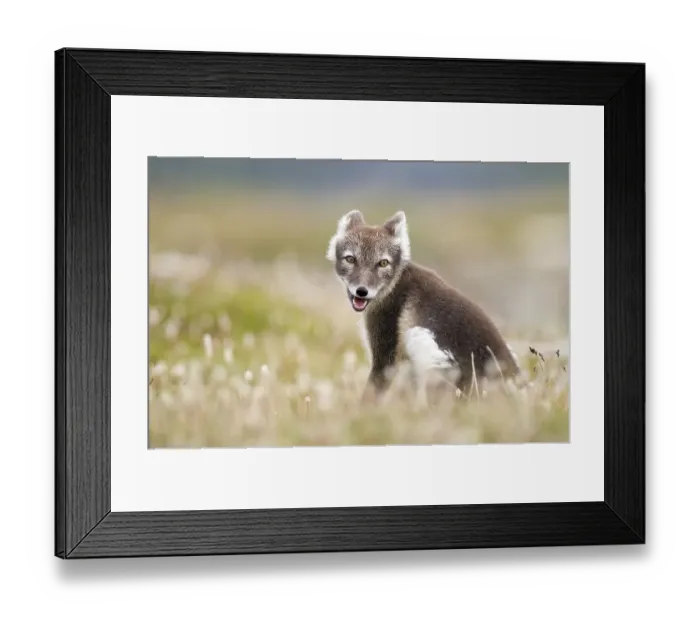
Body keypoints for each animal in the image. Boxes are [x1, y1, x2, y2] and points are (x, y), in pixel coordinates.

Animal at [326, 209, 521, 402]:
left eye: (383, 263)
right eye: (350, 259)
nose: (362, 291)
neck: (395, 284)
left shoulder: (386, 349)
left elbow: (372, 393)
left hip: (423, 346)